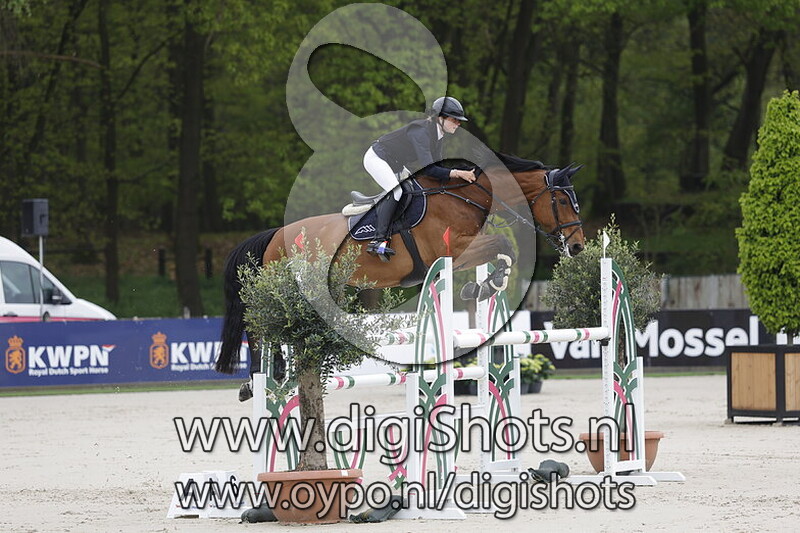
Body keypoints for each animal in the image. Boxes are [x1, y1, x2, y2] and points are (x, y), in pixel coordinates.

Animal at [215, 152, 585, 375]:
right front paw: (487, 284)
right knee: (259, 325)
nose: (578, 246)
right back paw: (262, 376)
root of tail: (275, 235)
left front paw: (483, 286)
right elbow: (502, 244)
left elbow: (503, 250)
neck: (467, 197)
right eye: (563, 200)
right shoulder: (453, 251)